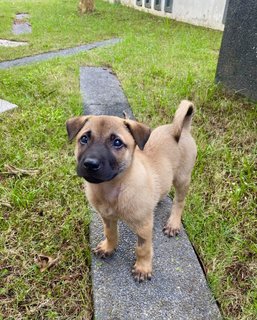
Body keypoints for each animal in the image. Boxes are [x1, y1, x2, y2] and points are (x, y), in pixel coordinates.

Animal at [66, 100, 196, 282]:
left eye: (117, 142)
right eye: (84, 139)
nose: (90, 164)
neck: (113, 189)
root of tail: (182, 128)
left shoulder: (143, 226)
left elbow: (143, 248)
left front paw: (143, 268)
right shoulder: (106, 217)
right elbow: (110, 233)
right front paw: (108, 247)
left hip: (182, 177)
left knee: (179, 201)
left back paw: (173, 223)